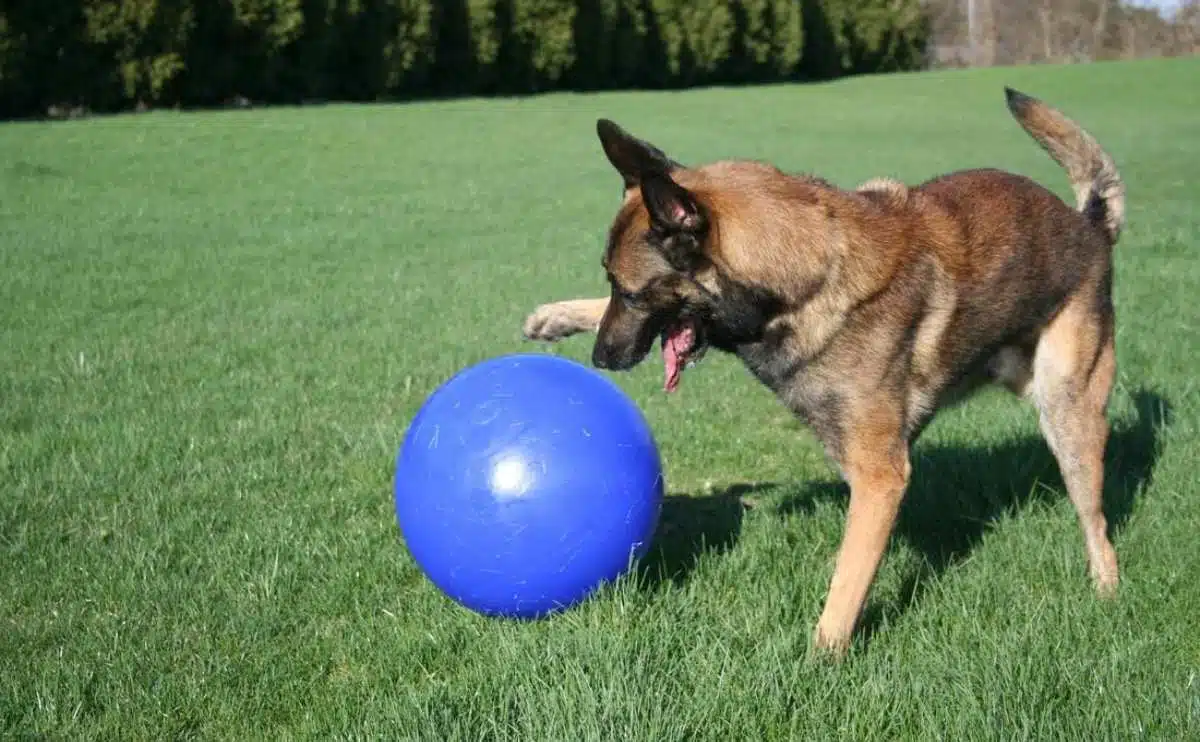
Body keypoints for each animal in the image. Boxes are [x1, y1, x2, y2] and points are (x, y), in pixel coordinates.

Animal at [520, 85, 1128, 653]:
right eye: (612, 286)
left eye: (632, 292)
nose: (602, 359)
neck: (802, 277)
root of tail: (1089, 226)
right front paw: (554, 316)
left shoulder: (880, 478)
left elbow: (845, 586)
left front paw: (819, 660)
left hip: (1068, 413)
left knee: (1096, 522)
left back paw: (1106, 592)